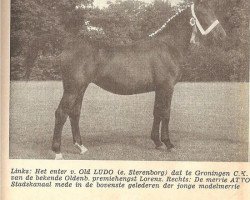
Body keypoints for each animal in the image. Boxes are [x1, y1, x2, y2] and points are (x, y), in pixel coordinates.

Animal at [24, 0, 227, 159]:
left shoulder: (159, 88)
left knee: (74, 113)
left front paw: (157, 142)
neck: (168, 46)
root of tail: (68, 44)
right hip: (73, 88)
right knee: (61, 113)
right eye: (203, 13)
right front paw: (168, 144)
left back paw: (81, 147)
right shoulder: (167, 87)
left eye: (213, 10)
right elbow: (166, 113)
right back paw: (57, 152)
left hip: (81, 88)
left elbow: (156, 112)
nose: (222, 35)